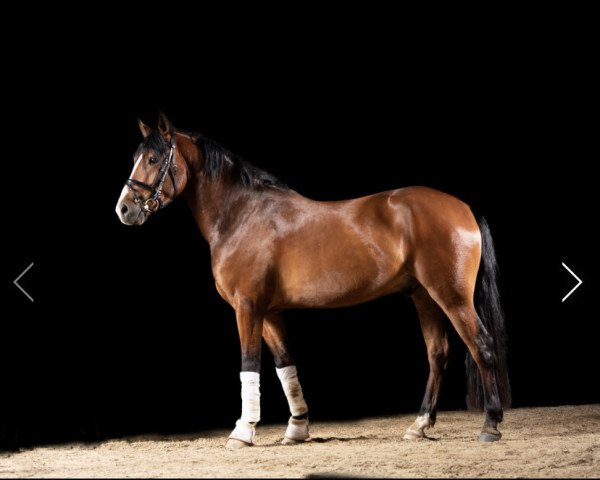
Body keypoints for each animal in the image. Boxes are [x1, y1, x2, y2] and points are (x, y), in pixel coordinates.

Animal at [116, 112, 510, 450]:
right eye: (136, 157)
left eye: (153, 159)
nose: (124, 209)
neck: (241, 215)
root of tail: (462, 207)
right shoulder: (270, 312)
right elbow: (284, 364)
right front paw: (297, 428)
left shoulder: (247, 307)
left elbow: (249, 364)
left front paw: (242, 432)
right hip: (423, 296)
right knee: (437, 354)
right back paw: (419, 425)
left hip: (451, 296)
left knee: (482, 345)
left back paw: (490, 424)